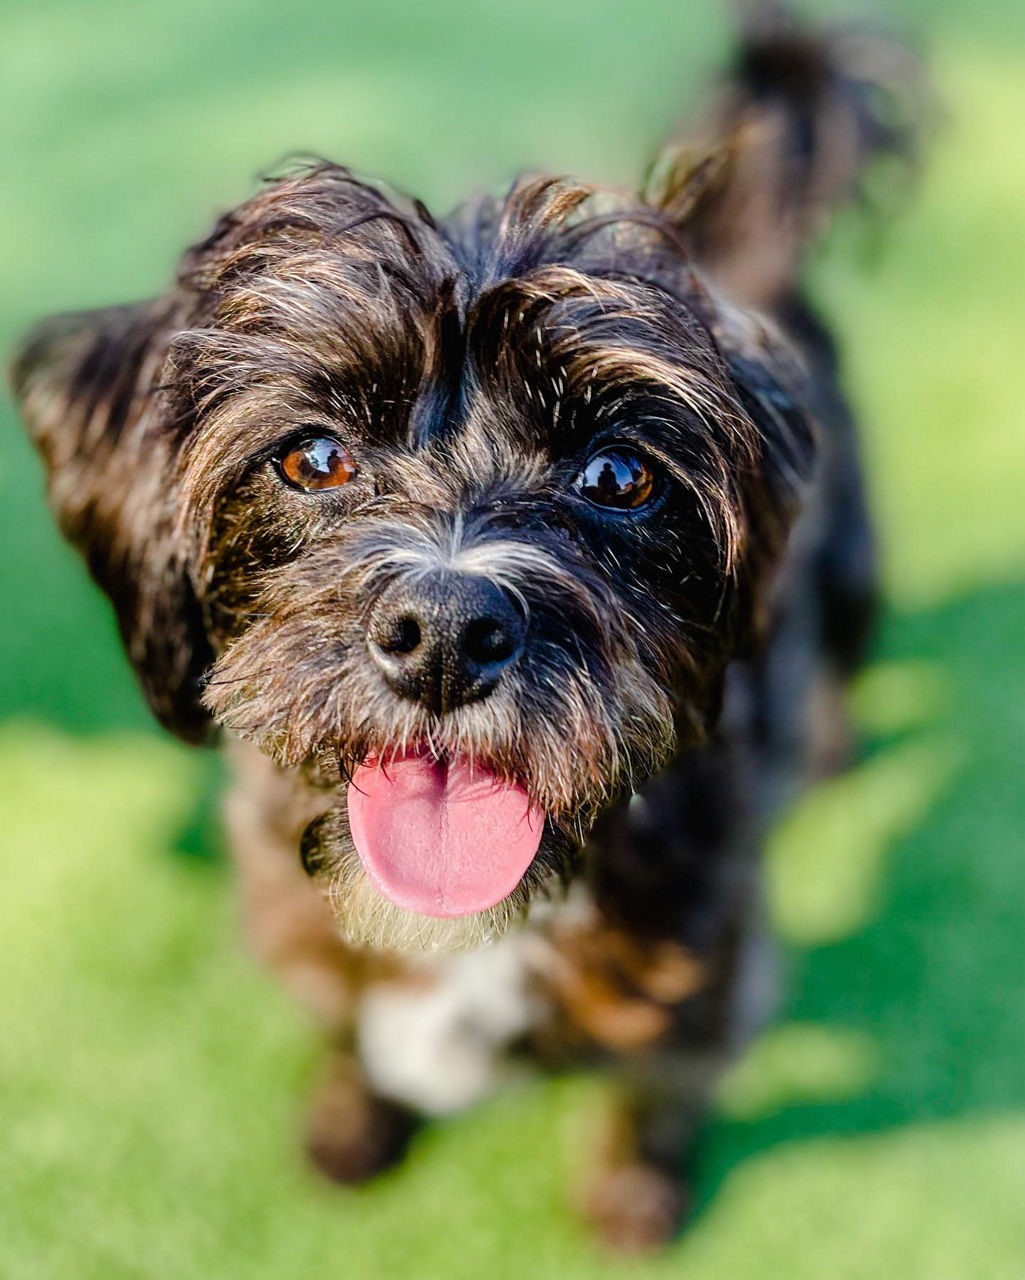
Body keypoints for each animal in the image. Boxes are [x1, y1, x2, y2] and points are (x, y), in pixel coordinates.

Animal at [7, 5, 921, 1254]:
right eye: (313, 456)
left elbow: (659, 1080)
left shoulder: (702, 950)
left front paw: (635, 1186)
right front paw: (352, 1116)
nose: (445, 629)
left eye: (617, 473)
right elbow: (341, 1020)